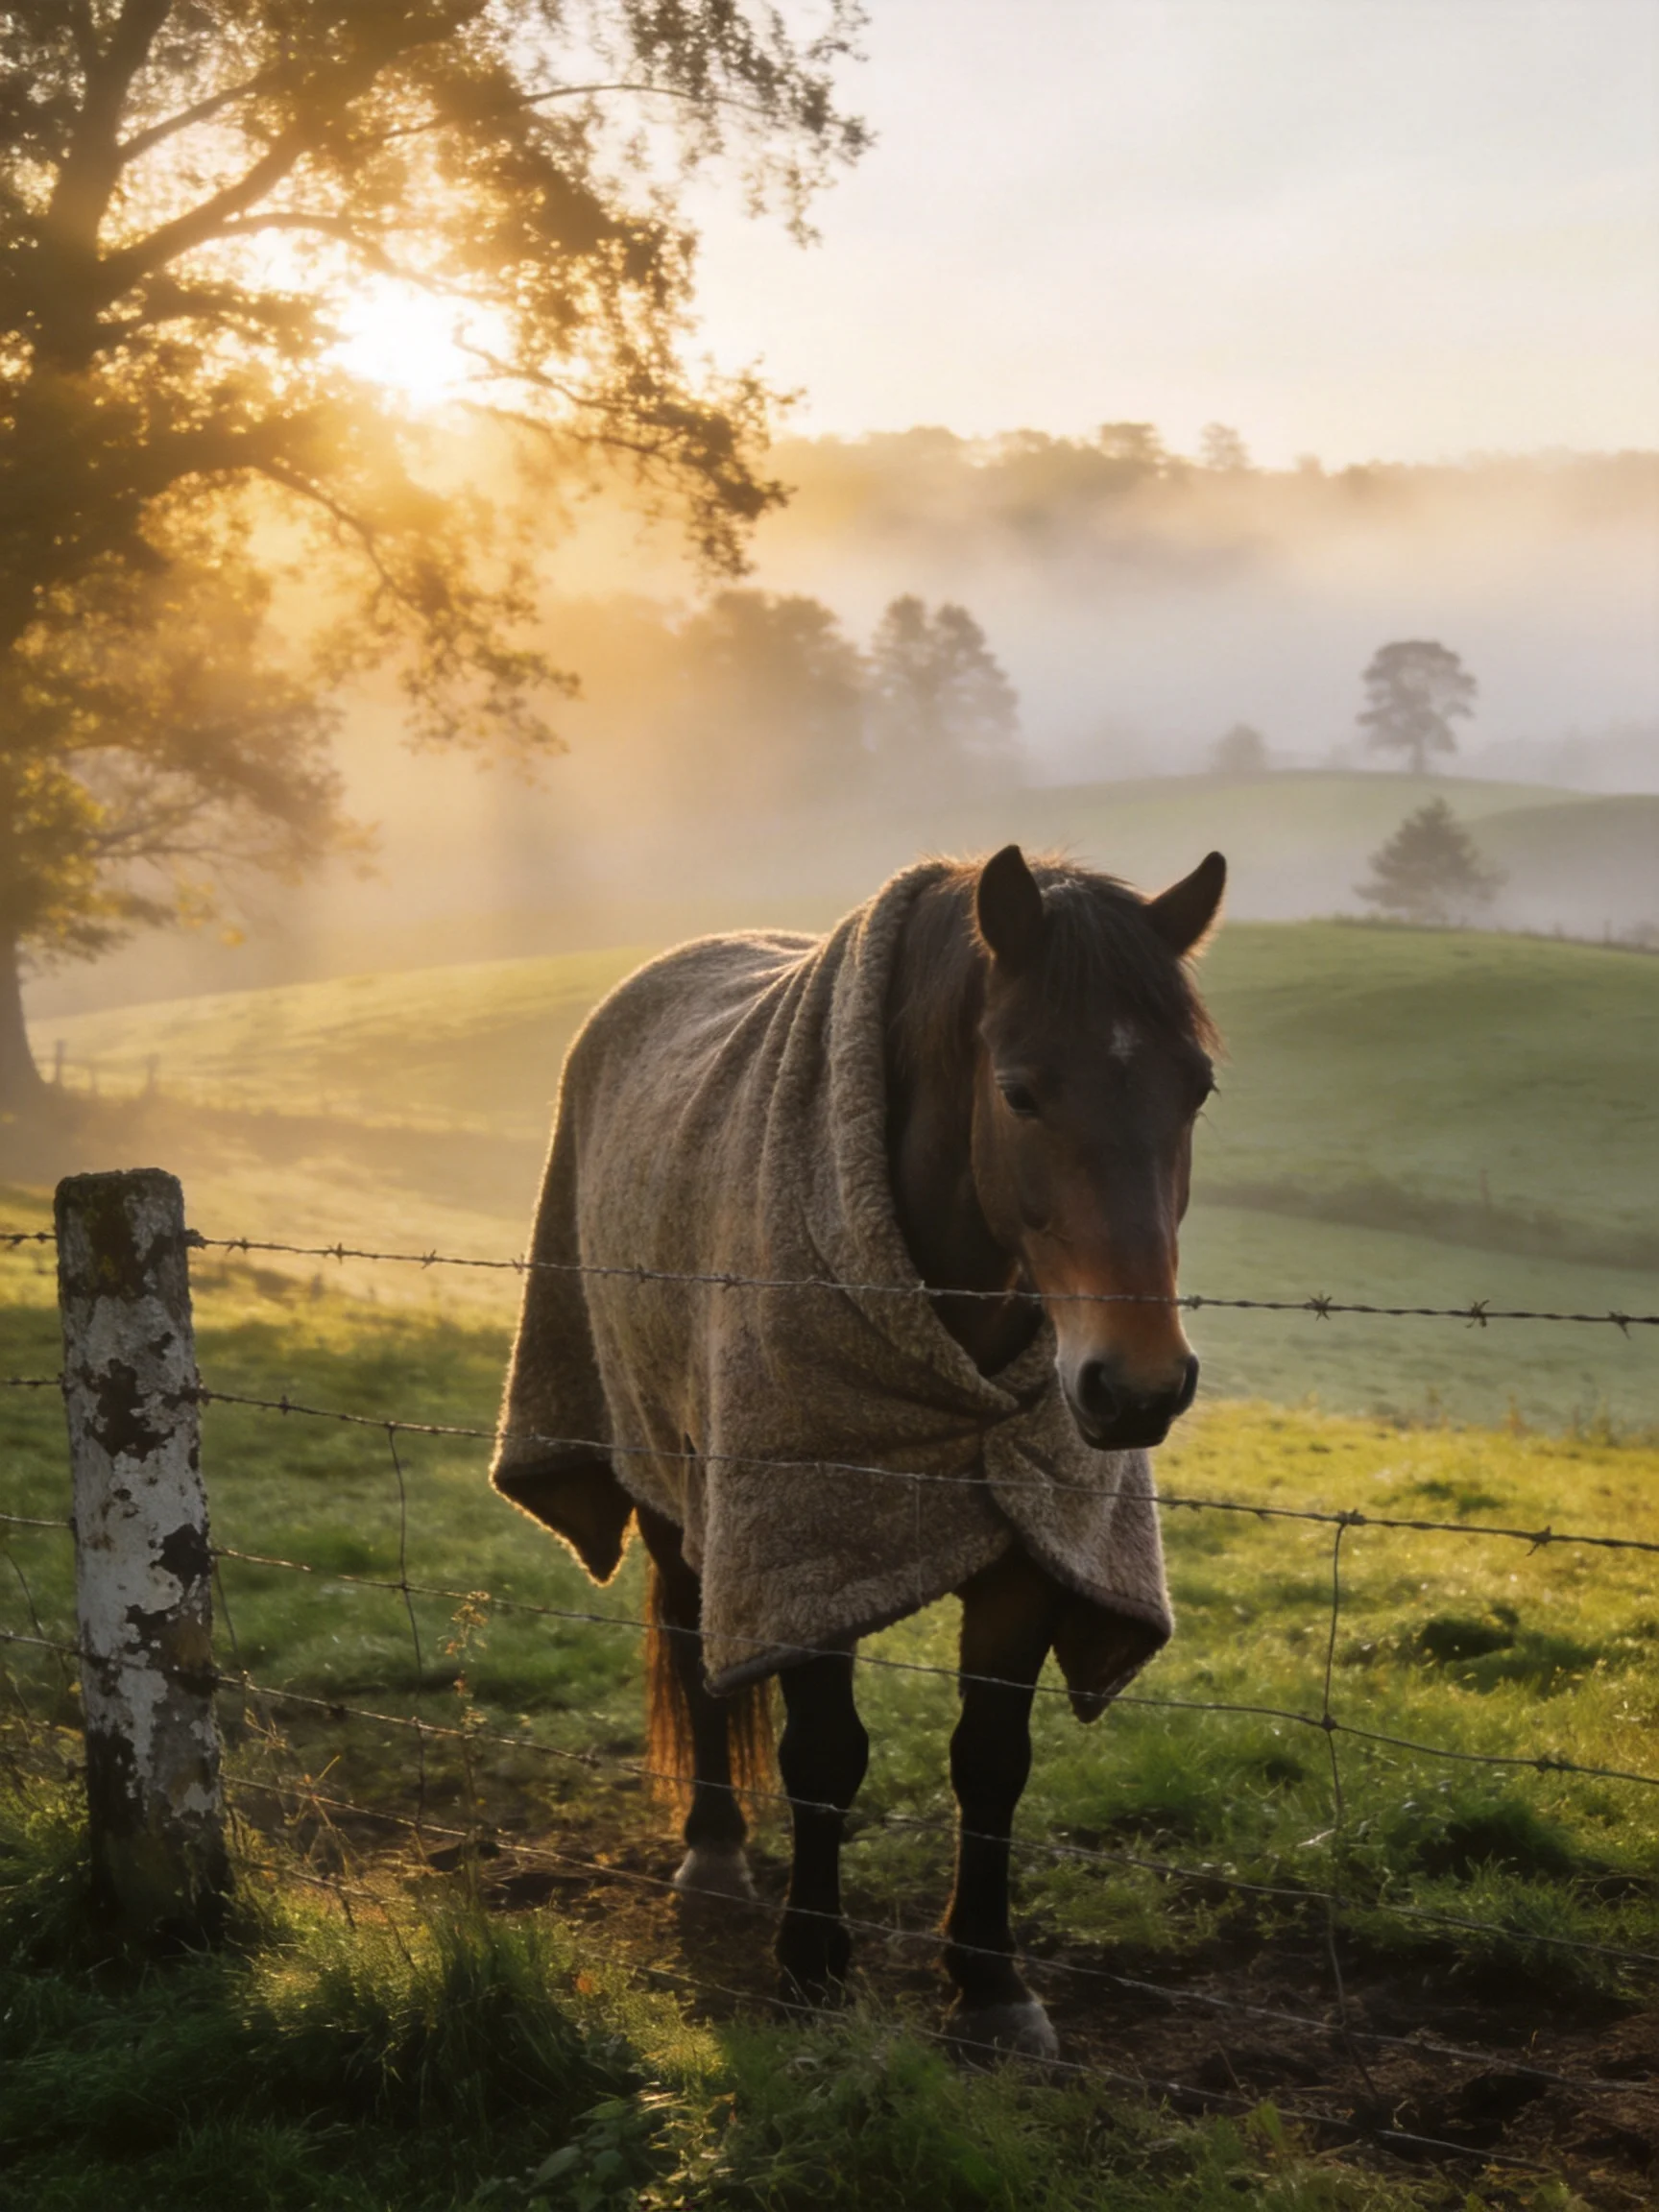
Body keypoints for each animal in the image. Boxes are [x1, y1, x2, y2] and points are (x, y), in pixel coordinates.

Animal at [494, 843, 1224, 2056]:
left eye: (1198, 1088)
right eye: (1020, 1090)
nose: (1137, 1386)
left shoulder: (1035, 1542)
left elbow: (992, 1761)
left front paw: (990, 1985)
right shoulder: (805, 1543)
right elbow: (825, 1755)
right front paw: (813, 1966)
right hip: (667, 1470)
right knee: (693, 1642)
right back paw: (715, 1851)